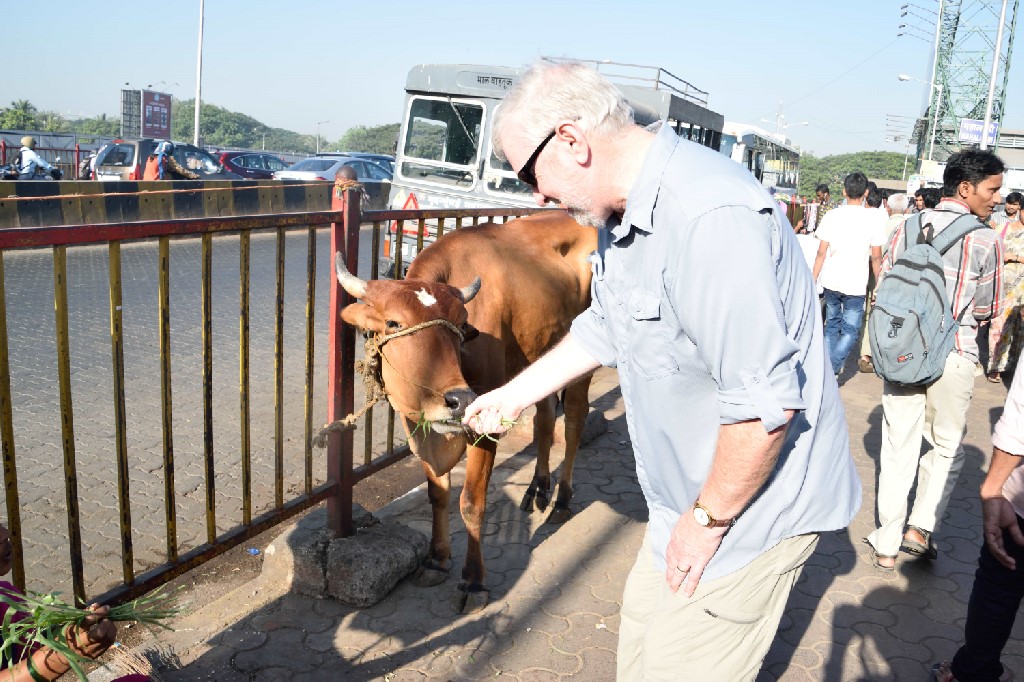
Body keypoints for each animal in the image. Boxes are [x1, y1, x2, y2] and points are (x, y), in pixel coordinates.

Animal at [334, 210, 597, 612]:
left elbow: (471, 503)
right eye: (393, 322)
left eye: (461, 324)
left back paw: (562, 501)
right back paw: (538, 489)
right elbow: (438, 495)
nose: (458, 399)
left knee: (575, 421)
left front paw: (473, 581)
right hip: (540, 355)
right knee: (544, 420)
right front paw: (436, 559)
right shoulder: (422, 428)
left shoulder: (485, 422)